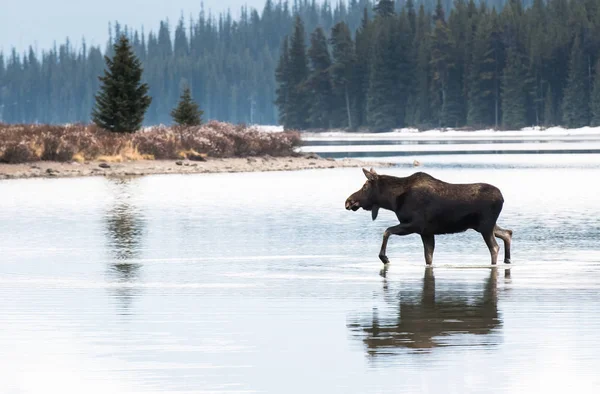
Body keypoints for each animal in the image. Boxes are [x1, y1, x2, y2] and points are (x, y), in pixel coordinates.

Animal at [344, 168, 512, 266]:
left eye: (365, 187)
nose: (348, 201)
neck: (392, 201)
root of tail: (503, 198)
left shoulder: (415, 225)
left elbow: (387, 231)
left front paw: (384, 257)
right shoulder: (426, 232)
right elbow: (428, 257)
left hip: (485, 226)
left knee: (494, 247)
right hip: (483, 225)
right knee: (507, 233)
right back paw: (508, 259)